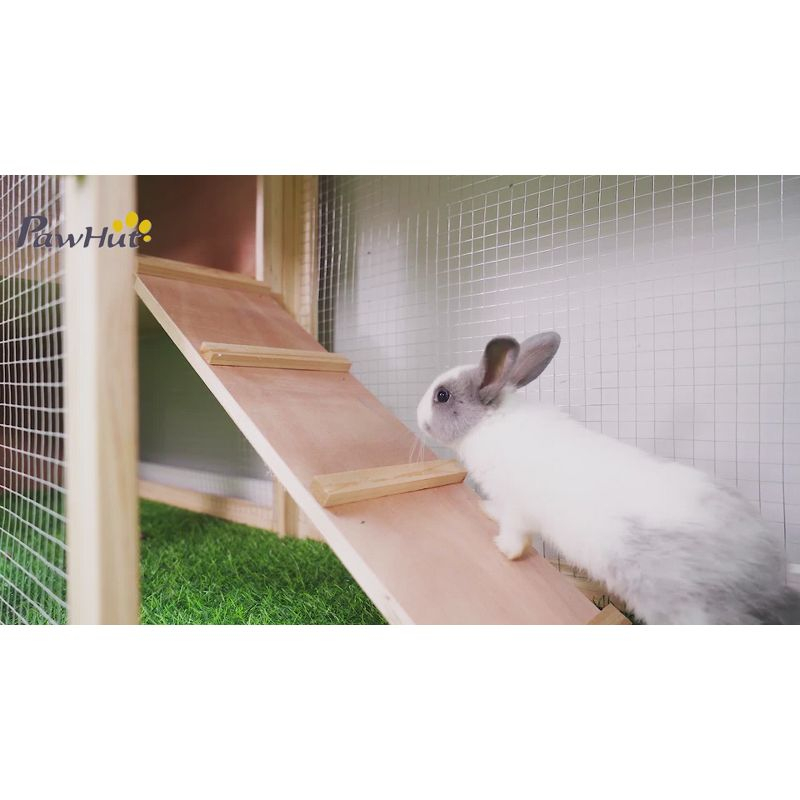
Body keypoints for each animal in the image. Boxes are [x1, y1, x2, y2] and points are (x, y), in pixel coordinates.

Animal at [417, 332, 800, 624]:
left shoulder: (517, 508)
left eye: (442, 395)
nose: (418, 418)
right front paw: (486, 511)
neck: (487, 423)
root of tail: (769, 576)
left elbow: (515, 535)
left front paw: (502, 549)